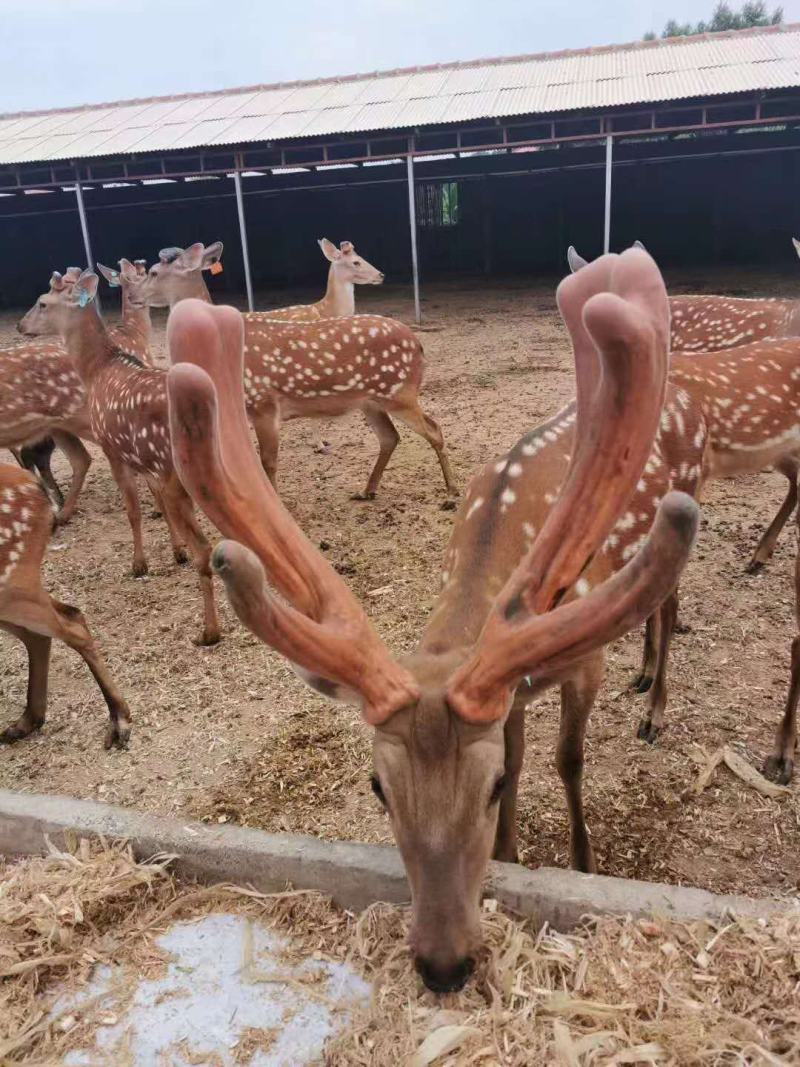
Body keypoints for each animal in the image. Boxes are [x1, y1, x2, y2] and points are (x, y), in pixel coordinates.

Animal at [0, 461, 131, 748]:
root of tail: (35, 486)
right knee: (54, 624)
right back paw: (25, 722)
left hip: (11, 584)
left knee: (70, 623)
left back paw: (119, 721)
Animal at [19, 270, 220, 646]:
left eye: (42, 302)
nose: (21, 325)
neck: (98, 370)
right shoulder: (145, 462)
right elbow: (156, 504)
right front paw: (176, 552)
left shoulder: (113, 449)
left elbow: (133, 511)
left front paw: (139, 564)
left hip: (177, 475)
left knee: (207, 549)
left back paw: (209, 631)